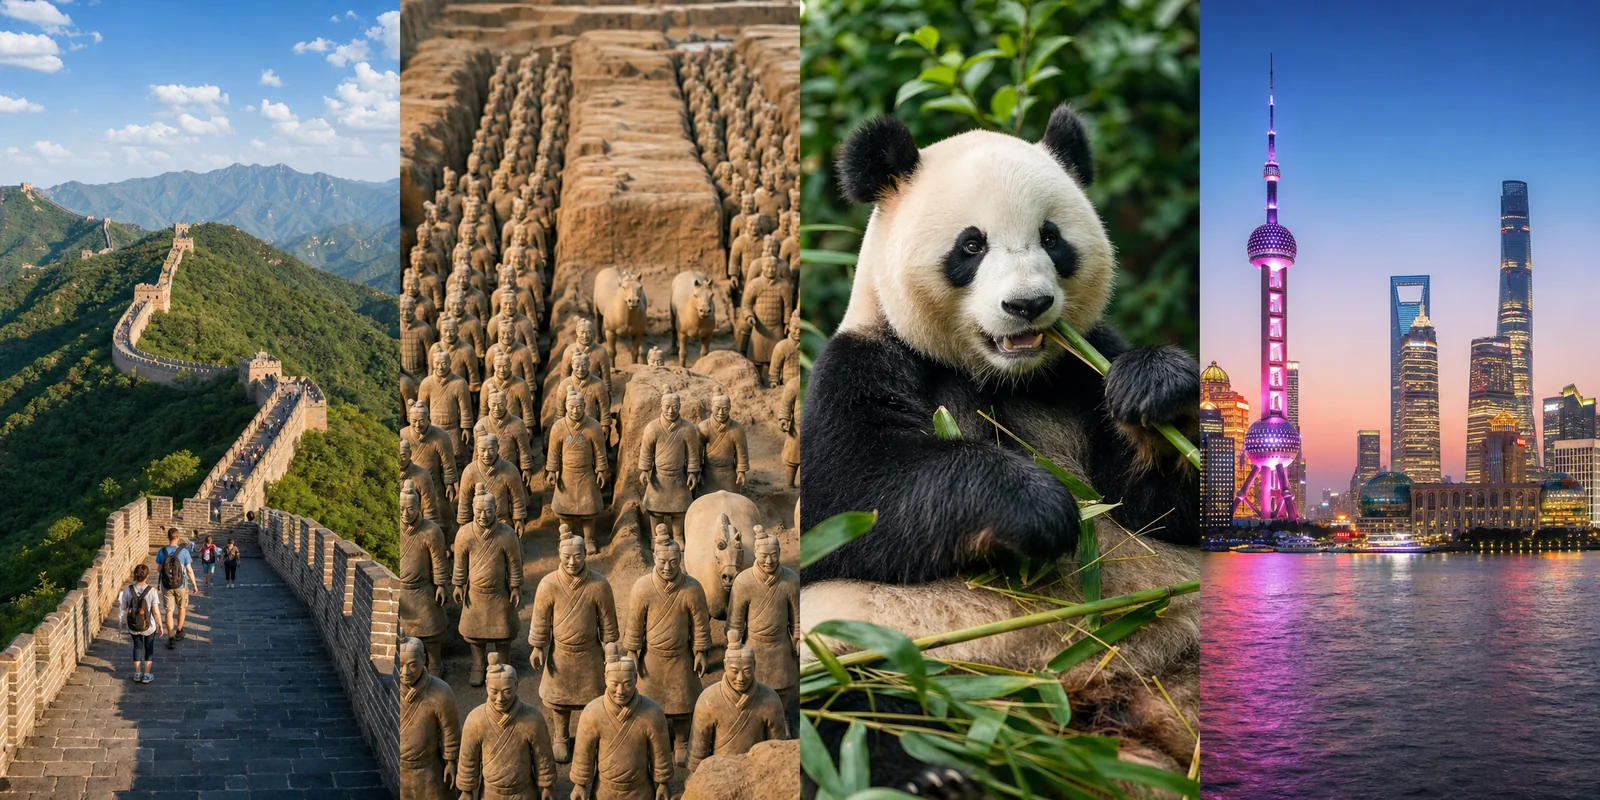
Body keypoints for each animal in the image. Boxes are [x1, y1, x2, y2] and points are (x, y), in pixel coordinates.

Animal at [799, 105, 1199, 795]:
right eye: (971, 245)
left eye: (1052, 238)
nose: (1028, 305)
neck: (1002, 377)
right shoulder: (863, 364)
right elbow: (847, 496)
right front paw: (1037, 507)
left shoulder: (1076, 373)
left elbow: (1166, 510)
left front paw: (1156, 390)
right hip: (879, 653)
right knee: (844, 708)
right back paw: (930, 772)